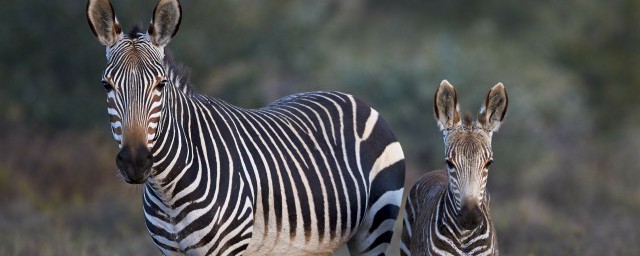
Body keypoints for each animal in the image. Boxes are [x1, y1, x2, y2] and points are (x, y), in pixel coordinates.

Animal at [87, 0, 404, 255]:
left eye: (161, 85)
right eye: (106, 86)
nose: (135, 162)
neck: (167, 189)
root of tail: (353, 97)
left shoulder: (227, 248)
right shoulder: (170, 251)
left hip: (374, 230)